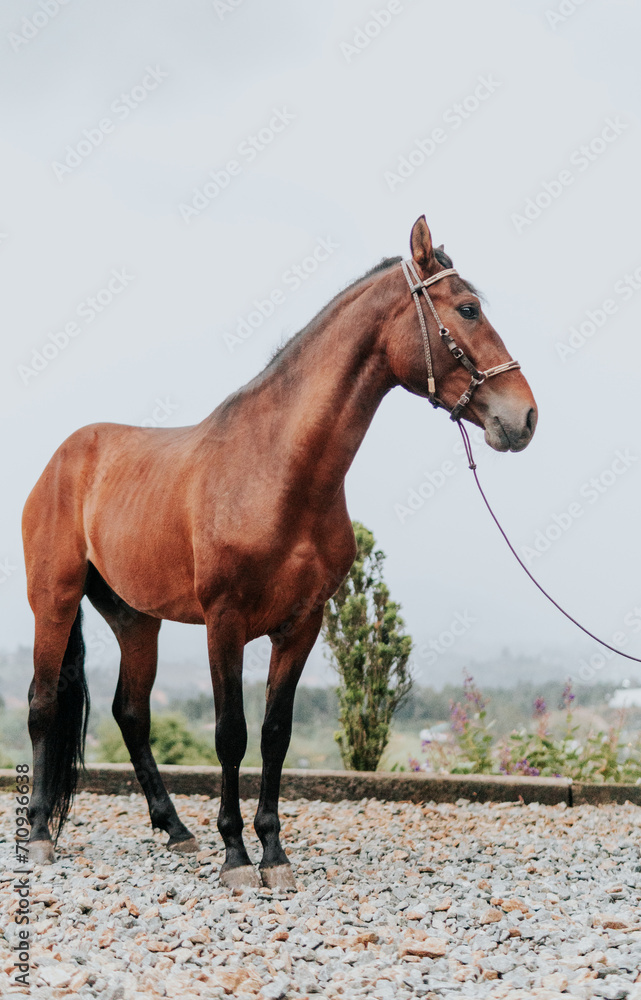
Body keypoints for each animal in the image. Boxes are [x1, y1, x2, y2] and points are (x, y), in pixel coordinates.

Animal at [23, 216, 537, 889]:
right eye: (469, 309)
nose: (523, 417)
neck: (275, 470)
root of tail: (64, 457)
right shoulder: (225, 622)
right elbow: (231, 734)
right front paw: (237, 856)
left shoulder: (301, 624)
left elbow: (274, 734)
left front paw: (272, 852)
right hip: (53, 601)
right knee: (42, 705)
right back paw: (39, 836)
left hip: (136, 619)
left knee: (131, 713)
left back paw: (176, 830)